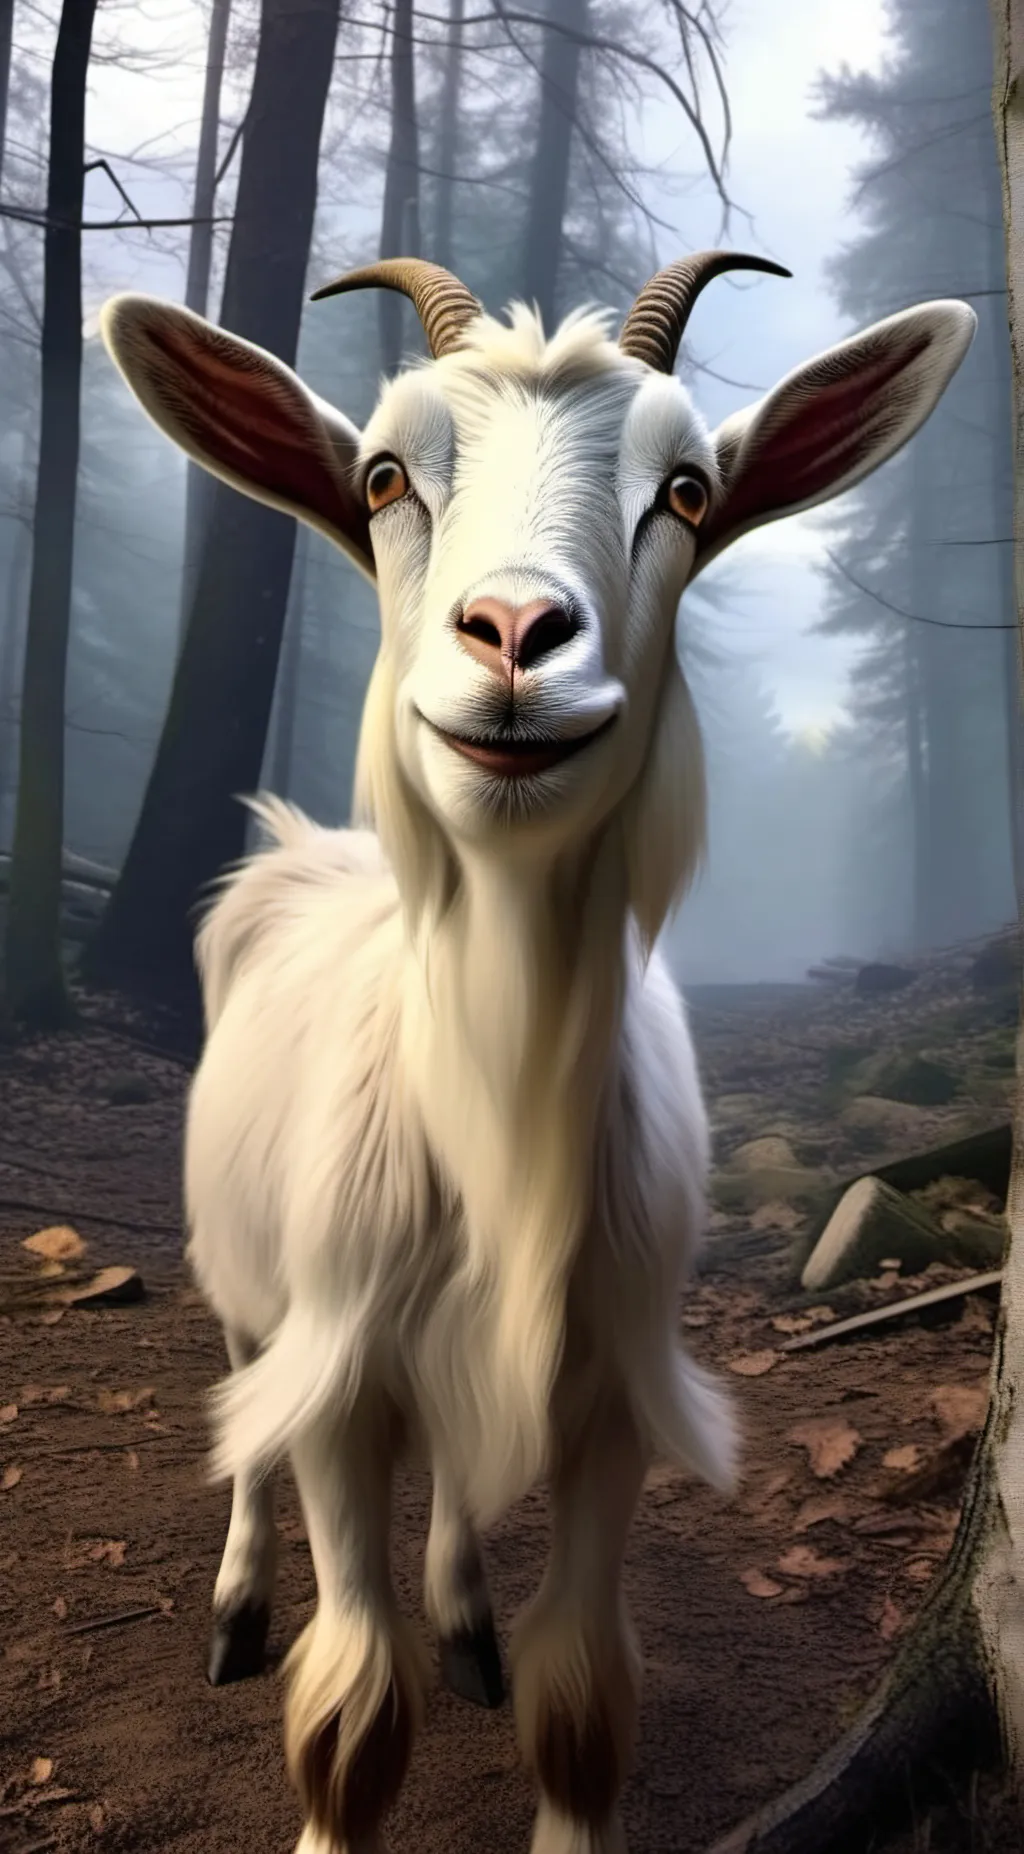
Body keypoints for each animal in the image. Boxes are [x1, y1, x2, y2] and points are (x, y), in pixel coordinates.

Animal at [100, 254, 974, 1854]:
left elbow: (581, 1694)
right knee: (241, 1407)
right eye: (384, 475)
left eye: (686, 492)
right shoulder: (341, 1373)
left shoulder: (610, 1390)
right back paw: (239, 1611)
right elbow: (352, 1704)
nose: (513, 635)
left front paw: (504, 1662)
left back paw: (464, 1620)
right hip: (242, 1272)